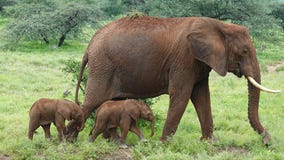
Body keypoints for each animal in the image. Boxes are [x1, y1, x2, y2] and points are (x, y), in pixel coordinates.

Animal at [66, 15, 280, 144]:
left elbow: (202, 96)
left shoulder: (198, 62)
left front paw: (209, 142)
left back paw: (112, 141)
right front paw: (163, 144)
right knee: (91, 103)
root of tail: (90, 44)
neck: (219, 25)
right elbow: (182, 95)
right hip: (103, 67)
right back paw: (69, 141)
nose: (266, 142)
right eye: (244, 51)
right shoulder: (184, 59)